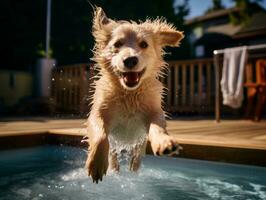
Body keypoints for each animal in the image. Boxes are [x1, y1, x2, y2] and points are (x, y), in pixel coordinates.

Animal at [85, 7, 183, 184]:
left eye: (143, 44)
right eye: (117, 44)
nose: (130, 60)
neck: (129, 94)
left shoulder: (153, 112)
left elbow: (157, 126)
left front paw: (164, 142)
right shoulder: (99, 112)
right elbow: (100, 133)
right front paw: (96, 163)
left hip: (138, 146)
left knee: (136, 160)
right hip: (114, 147)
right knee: (113, 158)